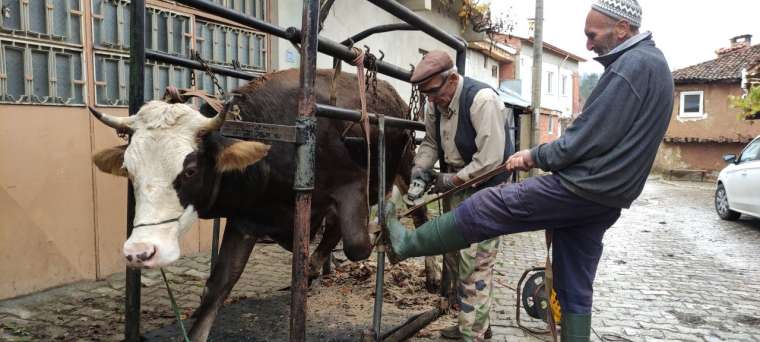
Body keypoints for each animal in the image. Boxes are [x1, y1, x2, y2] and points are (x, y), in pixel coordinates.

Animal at [90, 68, 422, 340]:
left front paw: (385, 238)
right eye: (129, 169)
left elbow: (357, 246)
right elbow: (219, 284)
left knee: (416, 210)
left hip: (407, 163)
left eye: (190, 170)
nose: (140, 252)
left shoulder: (352, 183)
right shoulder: (247, 220)